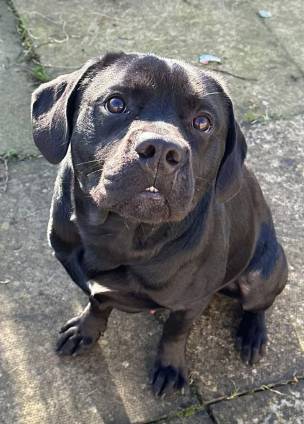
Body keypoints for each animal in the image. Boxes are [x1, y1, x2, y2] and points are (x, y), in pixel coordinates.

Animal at [30, 53, 288, 398]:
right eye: (115, 104)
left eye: (203, 122)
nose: (163, 149)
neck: (122, 233)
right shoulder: (89, 281)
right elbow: (97, 304)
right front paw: (86, 329)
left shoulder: (190, 304)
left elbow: (174, 333)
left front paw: (169, 367)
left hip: (262, 275)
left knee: (258, 305)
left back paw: (252, 335)